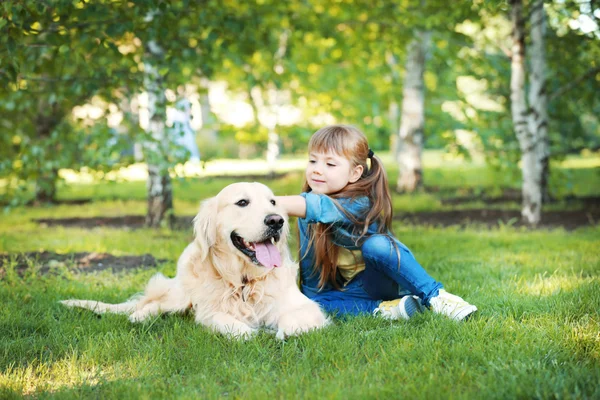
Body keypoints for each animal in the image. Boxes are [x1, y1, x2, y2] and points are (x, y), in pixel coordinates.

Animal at [61, 183, 328, 340]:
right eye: (242, 202)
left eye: (273, 202)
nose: (276, 221)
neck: (244, 282)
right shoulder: (208, 311)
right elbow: (227, 322)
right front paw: (248, 331)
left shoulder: (306, 306)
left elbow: (295, 320)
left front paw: (283, 332)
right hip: (181, 294)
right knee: (156, 304)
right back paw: (140, 316)